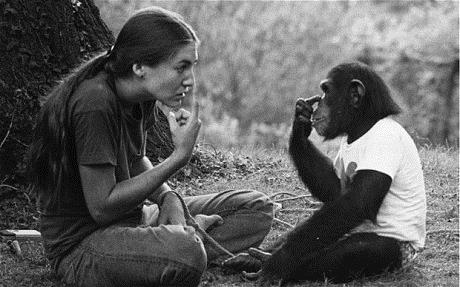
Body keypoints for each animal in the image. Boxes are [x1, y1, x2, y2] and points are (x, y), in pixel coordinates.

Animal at [225, 62, 426, 286]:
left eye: (327, 91)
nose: (318, 102)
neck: (363, 127)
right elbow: (335, 191)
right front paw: (300, 123)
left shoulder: (383, 143)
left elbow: (355, 203)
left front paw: (280, 261)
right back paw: (252, 258)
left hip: (399, 254)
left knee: (359, 249)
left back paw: (269, 264)